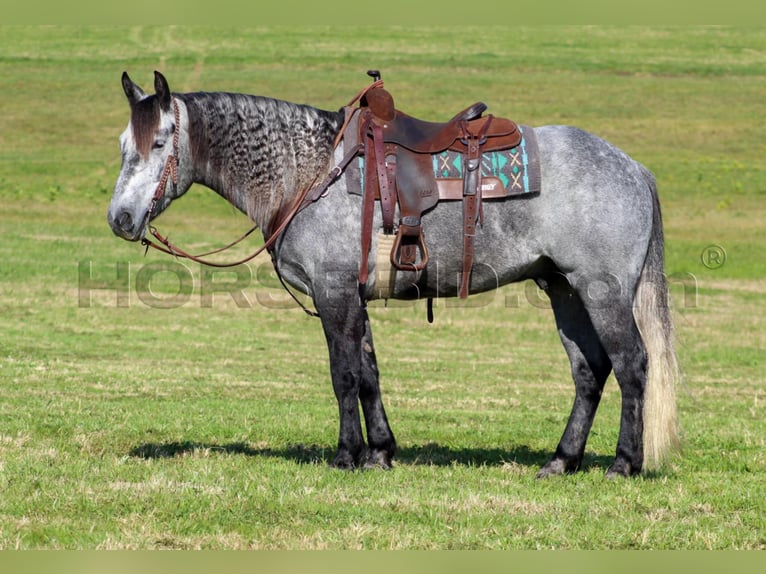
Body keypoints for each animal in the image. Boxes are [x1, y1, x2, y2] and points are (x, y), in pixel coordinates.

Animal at [109, 70, 684, 480]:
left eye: (158, 143)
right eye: (123, 146)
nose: (121, 219)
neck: (309, 170)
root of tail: (634, 168)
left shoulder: (335, 292)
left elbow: (343, 374)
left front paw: (346, 455)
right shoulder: (355, 298)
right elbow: (368, 374)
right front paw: (380, 453)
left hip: (602, 291)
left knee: (632, 363)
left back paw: (623, 463)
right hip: (563, 290)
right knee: (590, 371)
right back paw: (561, 460)